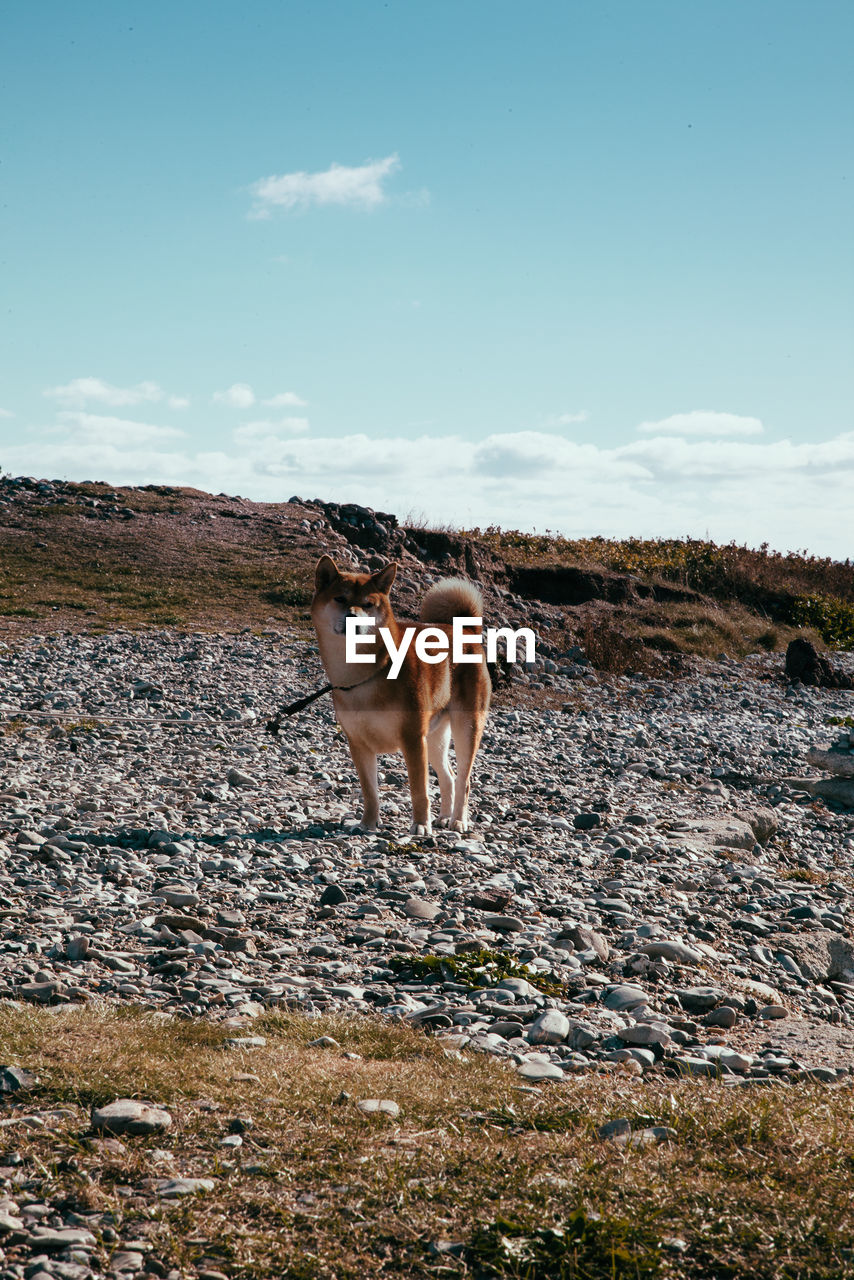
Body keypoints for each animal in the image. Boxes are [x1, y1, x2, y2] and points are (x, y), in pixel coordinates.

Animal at [311, 555, 491, 834]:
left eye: (368, 604)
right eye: (340, 599)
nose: (354, 618)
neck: (365, 673)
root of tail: (466, 631)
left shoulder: (413, 738)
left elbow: (419, 789)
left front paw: (420, 825)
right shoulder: (358, 743)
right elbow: (370, 791)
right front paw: (367, 823)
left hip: (466, 726)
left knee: (464, 780)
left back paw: (458, 820)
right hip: (436, 736)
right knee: (448, 777)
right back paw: (443, 817)